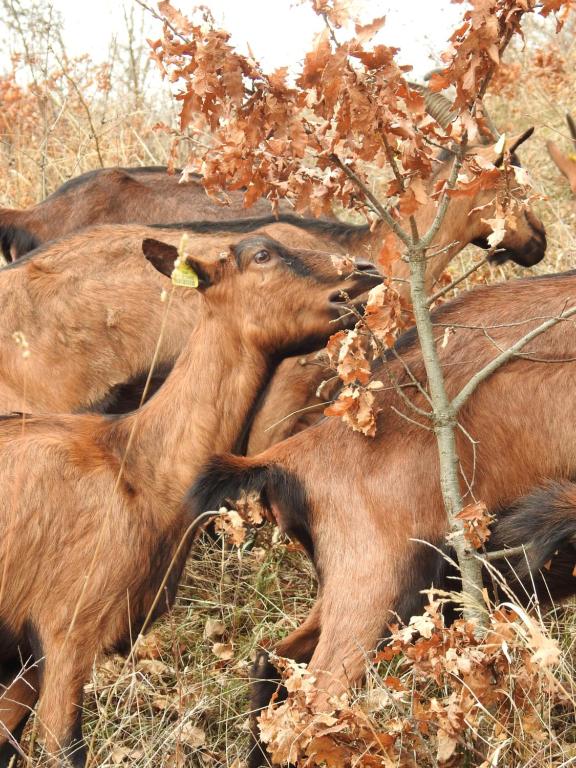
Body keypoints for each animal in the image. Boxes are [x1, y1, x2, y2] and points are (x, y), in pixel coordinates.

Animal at [0, 236, 378, 768]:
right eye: (262, 255)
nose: (365, 271)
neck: (138, 463)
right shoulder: (65, 636)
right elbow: (63, 750)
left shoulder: (23, 662)